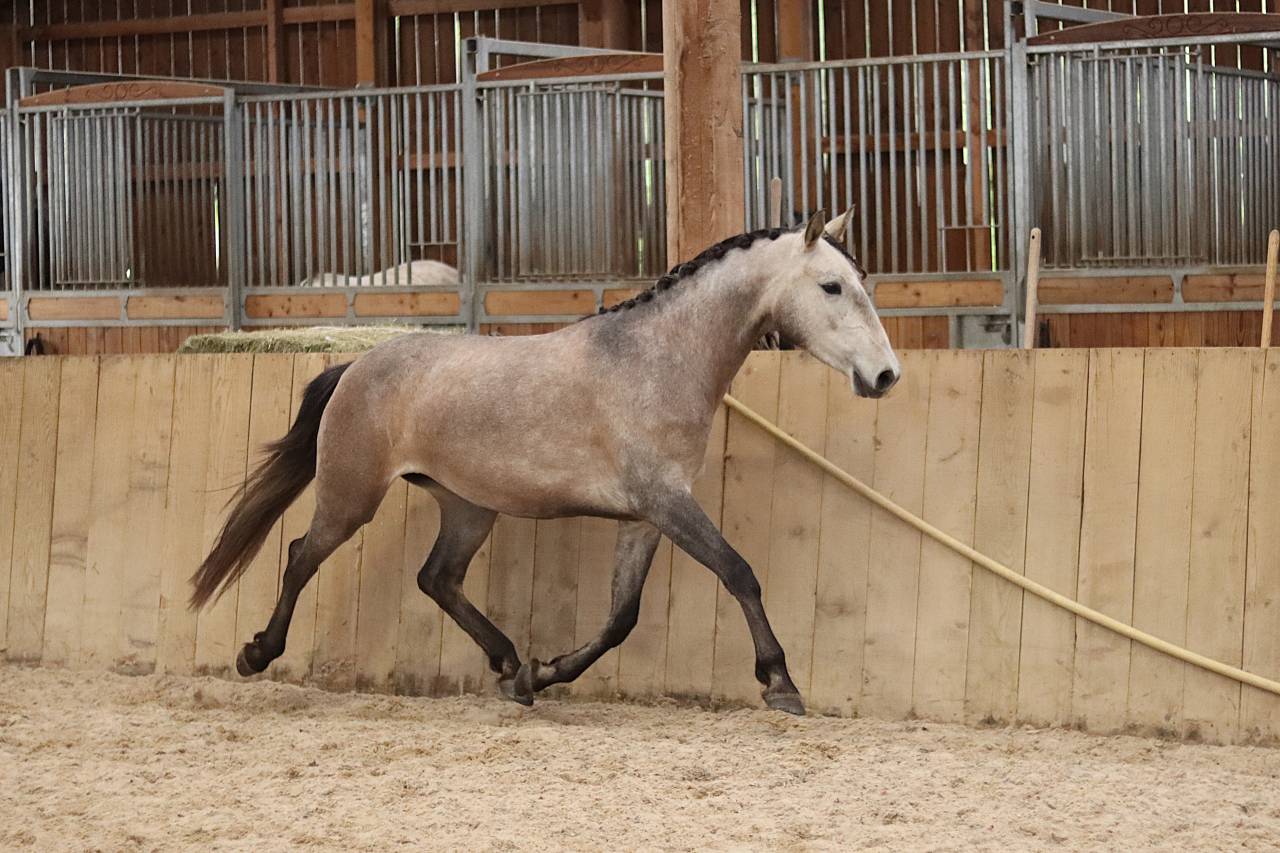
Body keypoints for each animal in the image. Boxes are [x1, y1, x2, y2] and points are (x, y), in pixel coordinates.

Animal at [190, 210, 900, 716]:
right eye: (831, 286)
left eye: (862, 282)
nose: (885, 376)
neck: (657, 359)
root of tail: (356, 364)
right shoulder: (668, 503)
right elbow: (740, 574)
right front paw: (780, 682)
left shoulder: (646, 518)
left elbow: (621, 619)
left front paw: (547, 670)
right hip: (350, 498)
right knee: (301, 556)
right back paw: (257, 654)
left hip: (468, 507)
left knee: (437, 578)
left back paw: (511, 668)